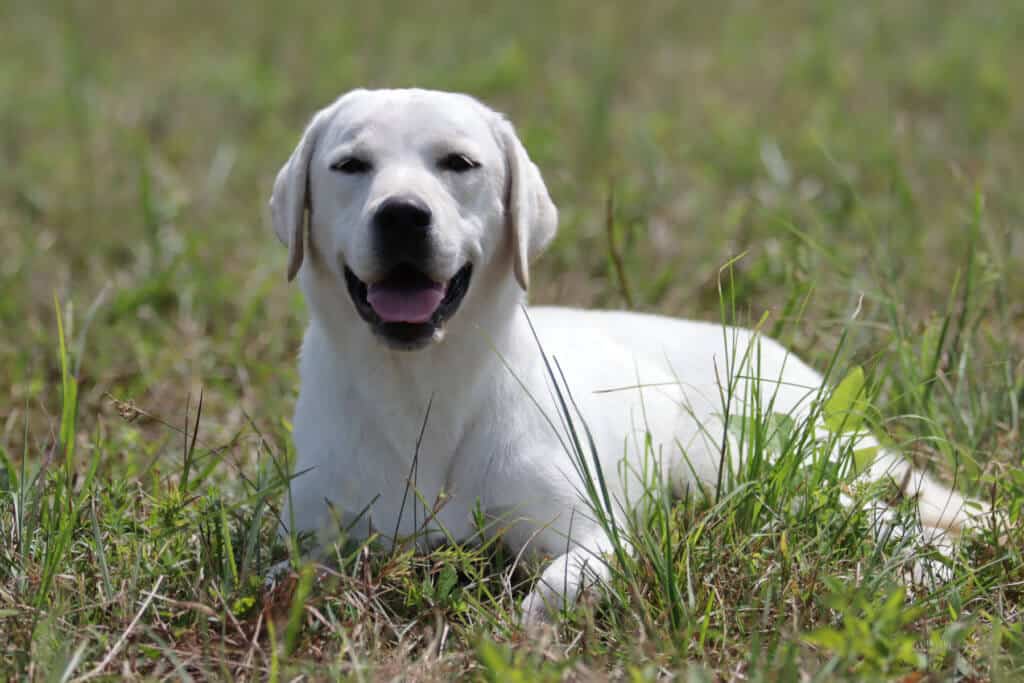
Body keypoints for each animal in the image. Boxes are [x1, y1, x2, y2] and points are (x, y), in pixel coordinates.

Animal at [272, 87, 983, 626]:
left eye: (459, 163)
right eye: (350, 165)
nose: (401, 215)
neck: (423, 388)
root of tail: (759, 341)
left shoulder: (592, 534)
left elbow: (553, 589)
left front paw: (530, 631)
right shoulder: (310, 543)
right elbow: (287, 576)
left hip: (762, 462)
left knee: (892, 517)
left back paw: (939, 562)